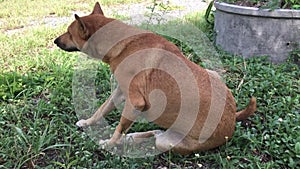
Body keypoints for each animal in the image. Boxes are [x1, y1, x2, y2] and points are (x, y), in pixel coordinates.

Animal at [53, 1, 255, 155]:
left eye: (69, 33)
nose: (55, 41)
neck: (123, 43)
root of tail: (232, 119)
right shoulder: (120, 92)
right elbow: (101, 110)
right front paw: (88, 122)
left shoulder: (135, 102)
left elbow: (118, 128)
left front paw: (109, 144)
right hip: (213, 75)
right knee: (156, 132)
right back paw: (131, 138)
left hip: (168, 143)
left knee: (155, 137)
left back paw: (128, 140)